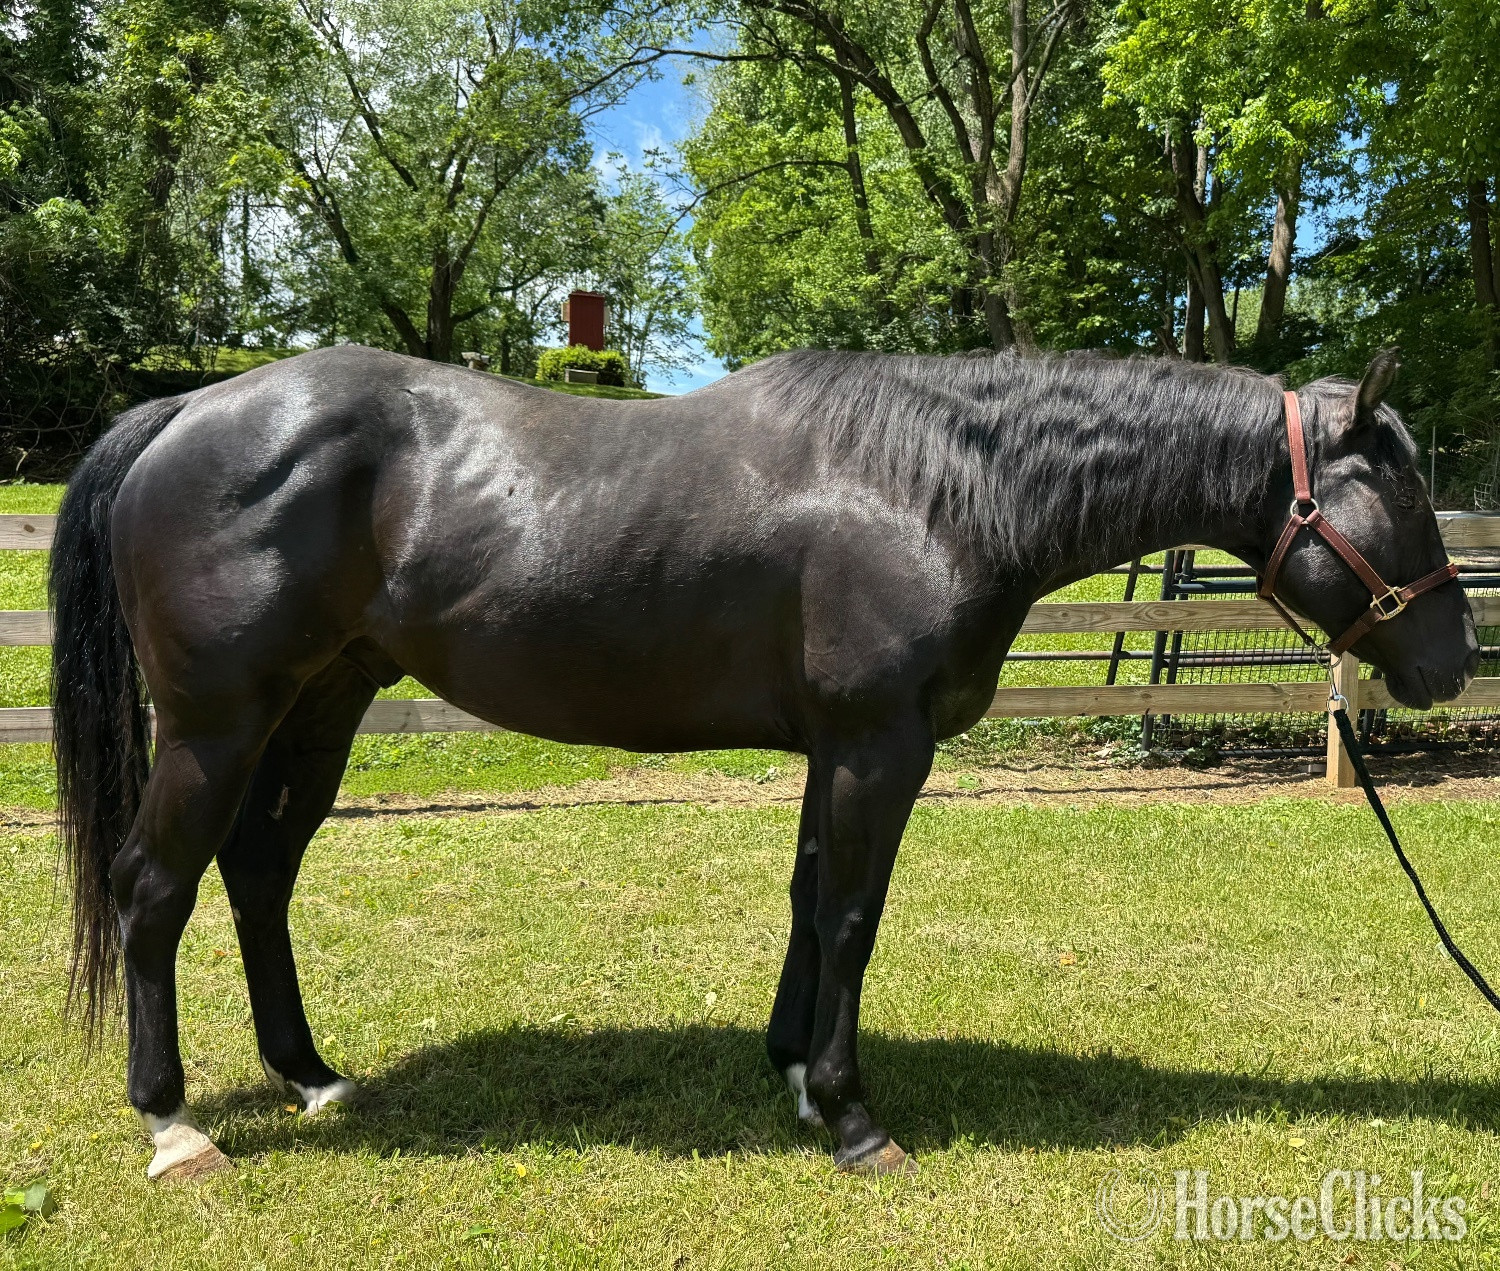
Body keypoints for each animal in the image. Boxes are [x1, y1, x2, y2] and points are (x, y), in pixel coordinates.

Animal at [49, 345, 1478, 1181]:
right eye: (1404, 493)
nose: (1455, 658)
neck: (936, 484)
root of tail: (188, 409)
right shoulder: (878, 746)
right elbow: (851, 913)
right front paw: (851, 1116)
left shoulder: (833, 747)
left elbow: (807, 901)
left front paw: (792, 1071)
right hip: (220, 722)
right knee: (154, 888)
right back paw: (174, 1125)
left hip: (322, 705)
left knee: (259, 872)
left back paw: (311, 1075)